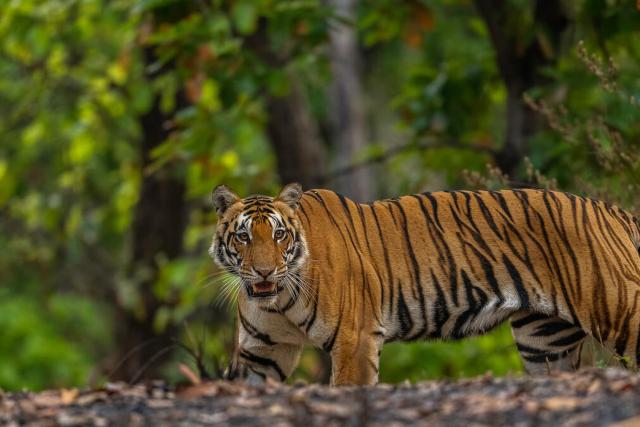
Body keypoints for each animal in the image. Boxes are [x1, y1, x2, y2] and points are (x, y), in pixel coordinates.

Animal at [210, 183, 640, 385]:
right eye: (244, 237)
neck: (277, 299)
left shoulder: (355, 338)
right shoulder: (261, 353)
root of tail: (611, 210)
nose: (264, 272)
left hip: (617, 307)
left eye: (279, 235)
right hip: (545, 342)